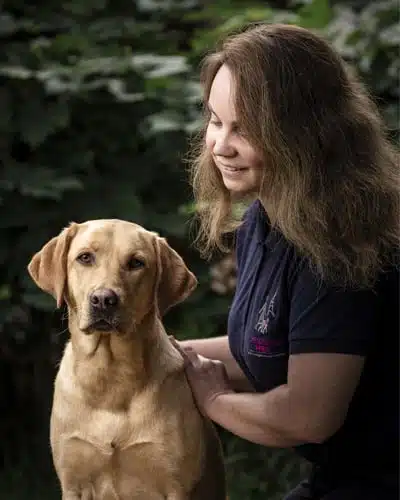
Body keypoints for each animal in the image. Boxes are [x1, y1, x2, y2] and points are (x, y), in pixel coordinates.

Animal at [28, 221, 227, 500]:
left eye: (136, 263)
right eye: (85, 257)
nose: (103, 300)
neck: (111, 376)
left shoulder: (175, 486)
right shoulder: (73, 484)